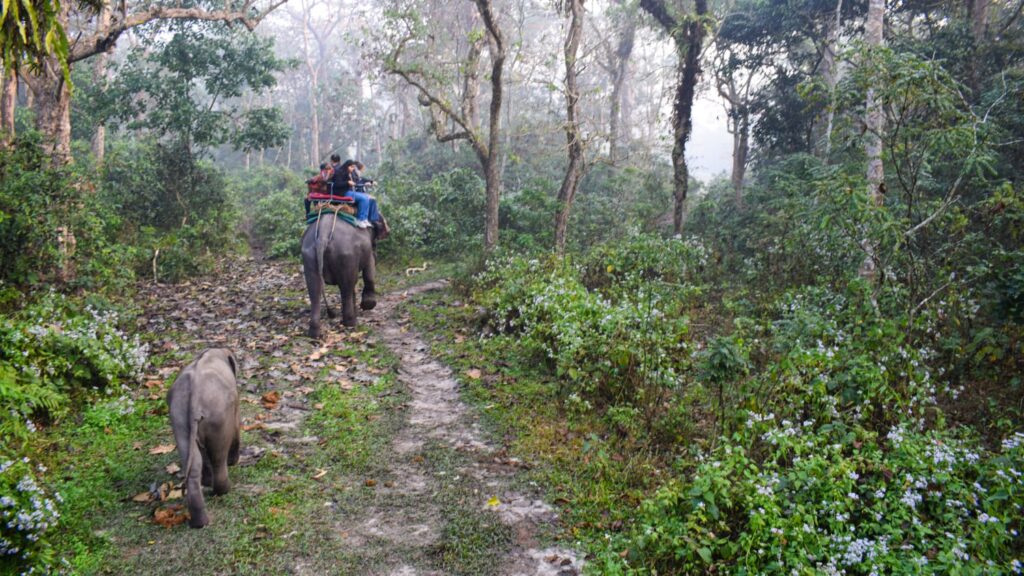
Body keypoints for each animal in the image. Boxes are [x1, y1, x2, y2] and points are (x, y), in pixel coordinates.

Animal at [166, 348, 240, 528]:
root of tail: (195, 397)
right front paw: (234, 461)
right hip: (219, 416)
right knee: (218, 456)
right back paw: (223, 489)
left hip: (179, 418)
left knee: (194, 463)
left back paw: (200, 521)